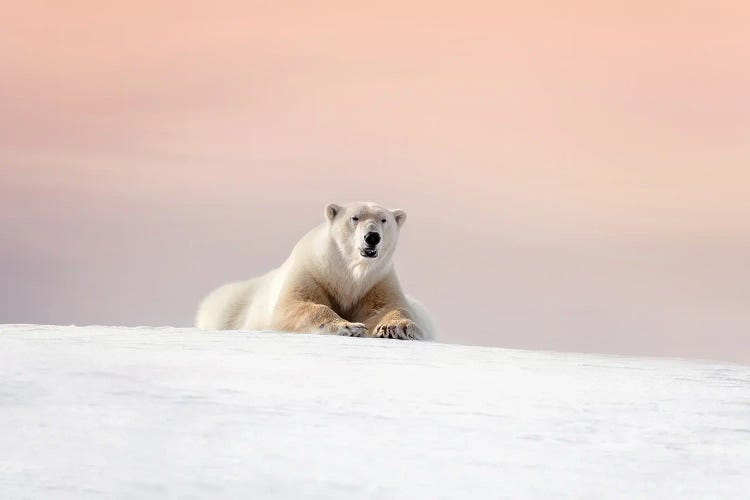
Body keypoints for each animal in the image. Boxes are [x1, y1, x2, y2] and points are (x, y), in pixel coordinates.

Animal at [197, 202, 438, 340]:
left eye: (384, 219)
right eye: (355, 218)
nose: (372, 237)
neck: (347, 272)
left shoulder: (377, 281)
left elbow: (388, 307)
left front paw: (394, 328)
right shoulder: (311, 271)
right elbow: (294, 306)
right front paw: (349, 326)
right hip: (228, 306)